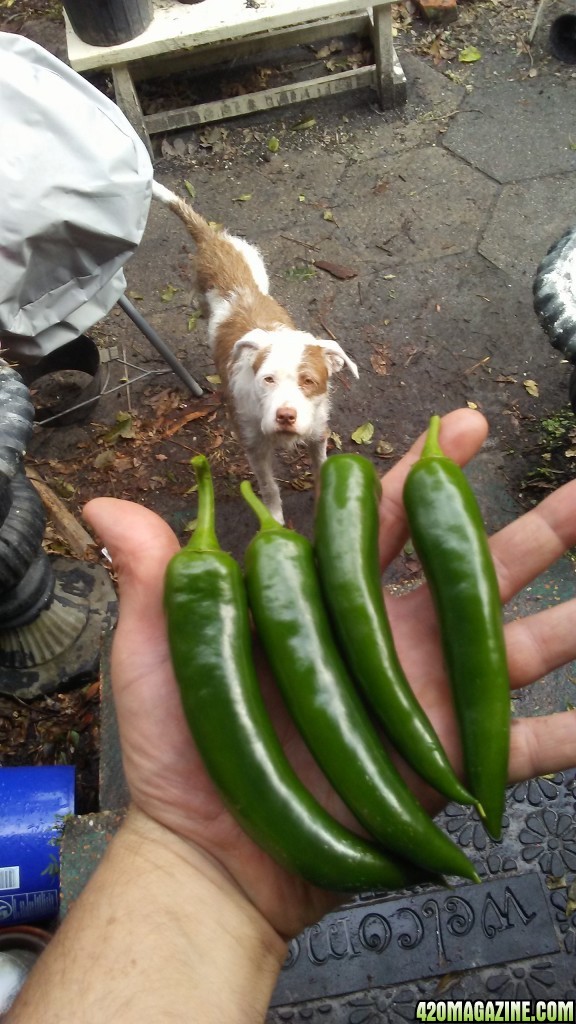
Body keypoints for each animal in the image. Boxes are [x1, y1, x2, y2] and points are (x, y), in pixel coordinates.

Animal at [150, 178, 356, 520]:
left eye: (308, 381)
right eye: (267, 380)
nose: (285, 416)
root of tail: (213, 238)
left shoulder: (317, 433)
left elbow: (320, 464)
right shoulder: (253, 447)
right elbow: (269, 487)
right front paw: (274, 519)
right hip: (202, 293)